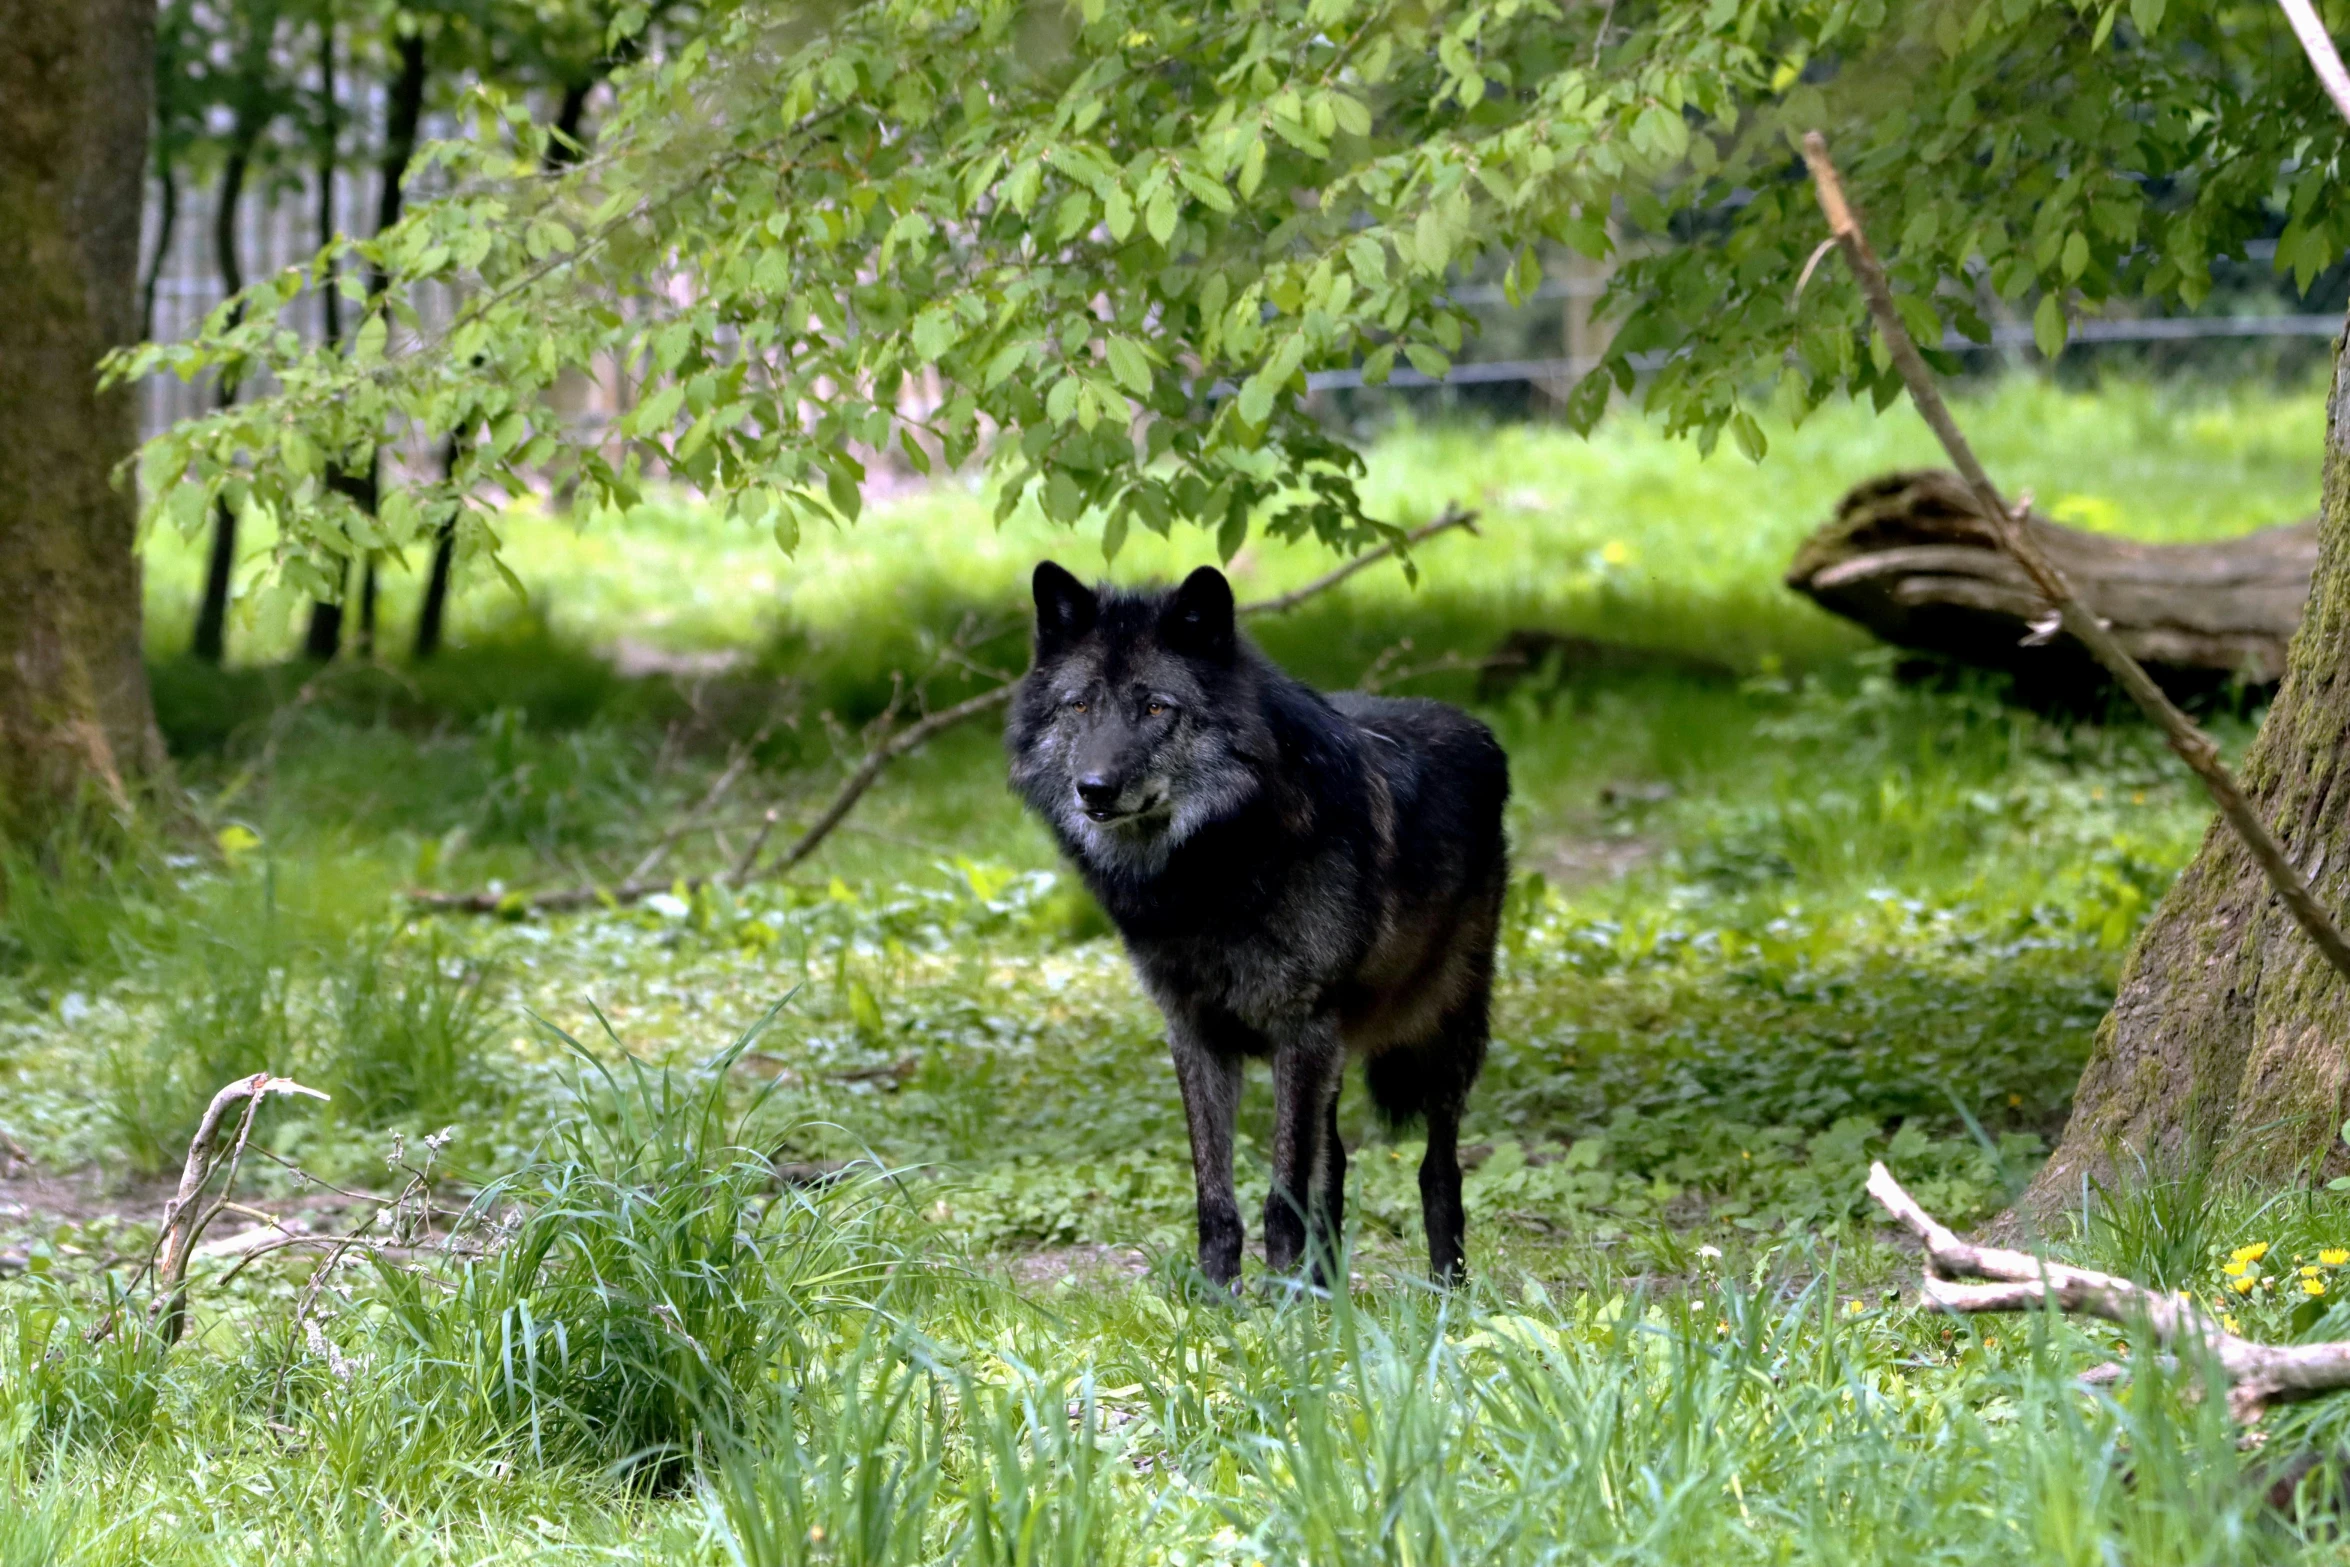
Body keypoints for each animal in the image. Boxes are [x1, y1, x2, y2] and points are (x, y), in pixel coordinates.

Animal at [1010, 563, 1504, 1287]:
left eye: (1155, 708)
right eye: (1079, 706)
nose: (1093, 788)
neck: (1207, 878)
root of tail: (1475, 726)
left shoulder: (1301, 1029)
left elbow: (1282, 1194)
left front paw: (1281, 1305)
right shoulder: (1196, 1033)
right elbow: (1217, 1196)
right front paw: (1221, 1301)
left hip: (1444, 1032)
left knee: (1437, 1168)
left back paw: (1446, 1289)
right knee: (1336, 1168)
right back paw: (1329, 1292)